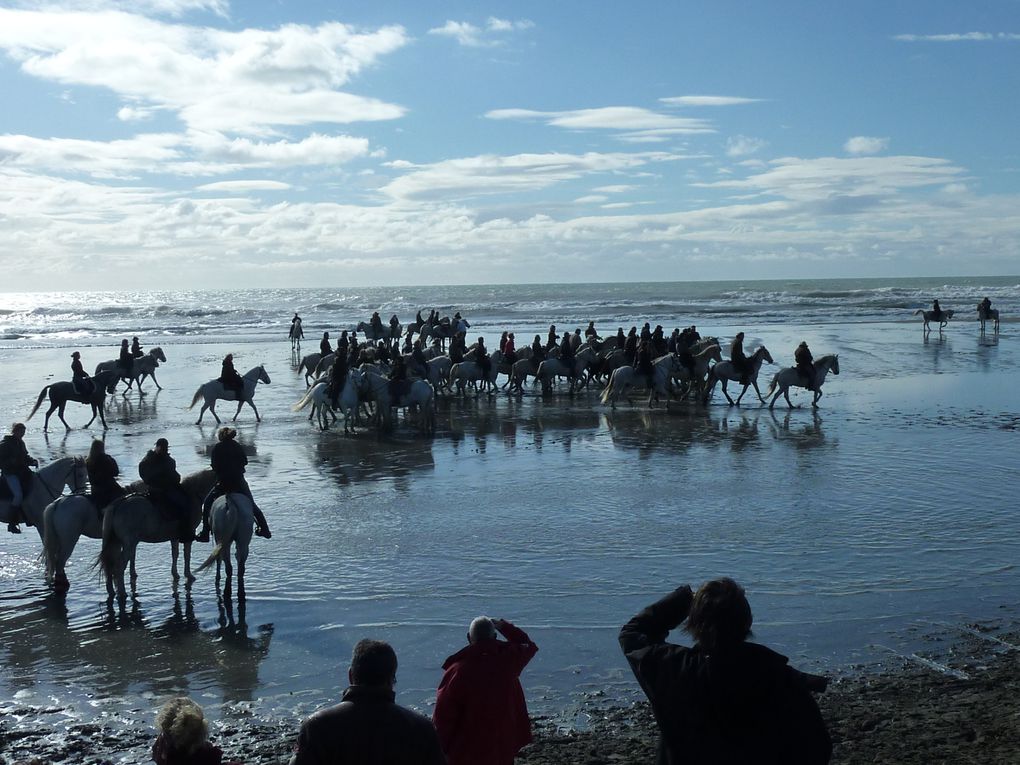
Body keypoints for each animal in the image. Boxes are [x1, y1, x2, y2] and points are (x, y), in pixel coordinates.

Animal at [97, 467, 215, 603]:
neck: (191, 493)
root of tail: (117, 505)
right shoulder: (188, 535)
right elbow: (186, 555)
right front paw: (189, 575)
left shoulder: (174, 537)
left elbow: (175, 554)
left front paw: (175, 574)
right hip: (128, 544)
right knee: (119, 566)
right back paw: (122, 593)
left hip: (115, 543)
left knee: (109, 566)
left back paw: (111, 591)